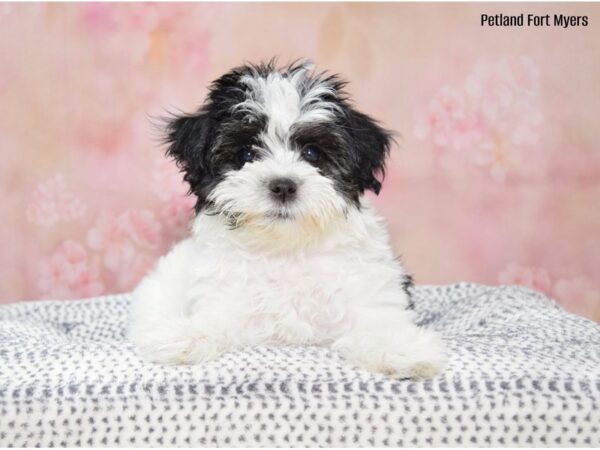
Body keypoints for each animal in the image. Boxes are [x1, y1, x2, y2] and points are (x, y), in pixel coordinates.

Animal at [129, 58, 446, 378]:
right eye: (246, 154)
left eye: (312, 153)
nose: (283, 185)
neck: (287, 249)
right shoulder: (224, 298)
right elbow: (214, 320)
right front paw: (187, 336)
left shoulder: (369, 287)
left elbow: (375, 319)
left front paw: (400, 350)